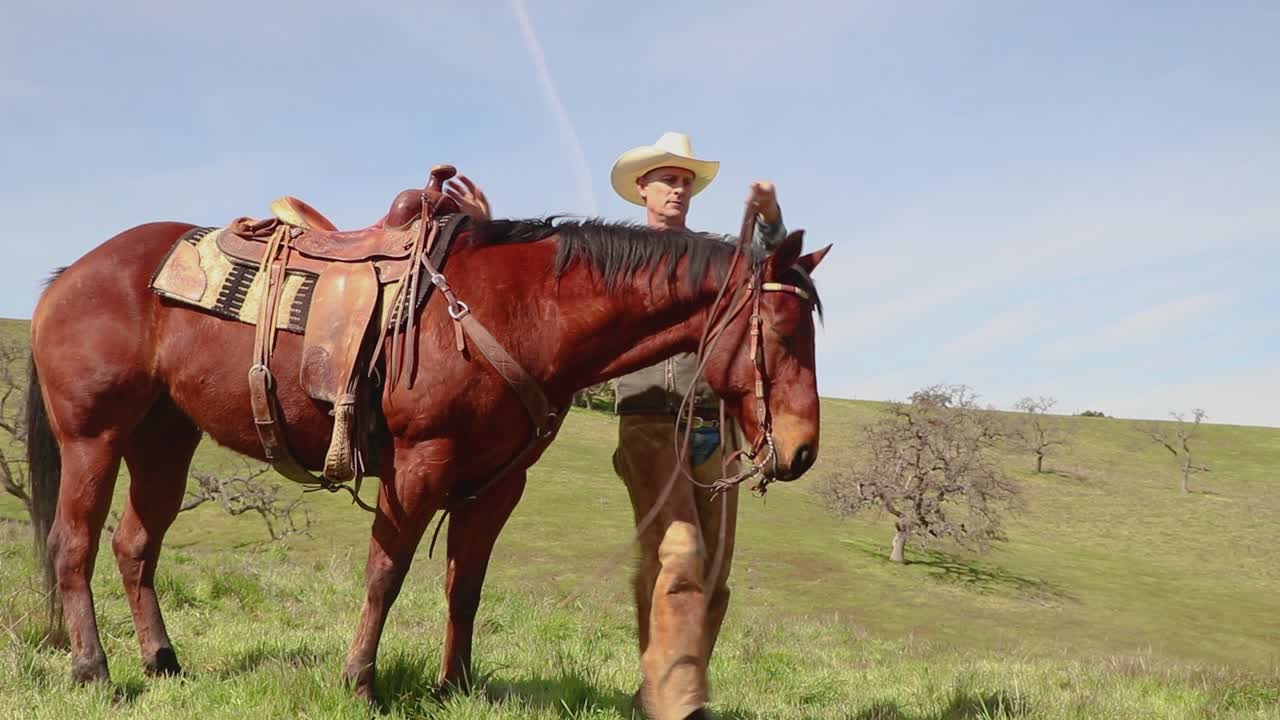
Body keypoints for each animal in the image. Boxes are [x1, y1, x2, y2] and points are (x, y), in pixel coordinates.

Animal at [25, 207, 828, 703]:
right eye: (784, 333)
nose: (801, 450)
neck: (519, 310)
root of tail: (70, 274)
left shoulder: (496, 486)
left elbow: (464, 585)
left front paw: (457, 685)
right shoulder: (418, 465)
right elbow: (385, 574)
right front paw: (360, 680)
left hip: (164, 438)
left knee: (135, 545)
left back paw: (162, 663)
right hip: (93, 437)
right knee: (73, 544)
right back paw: (93, 669)